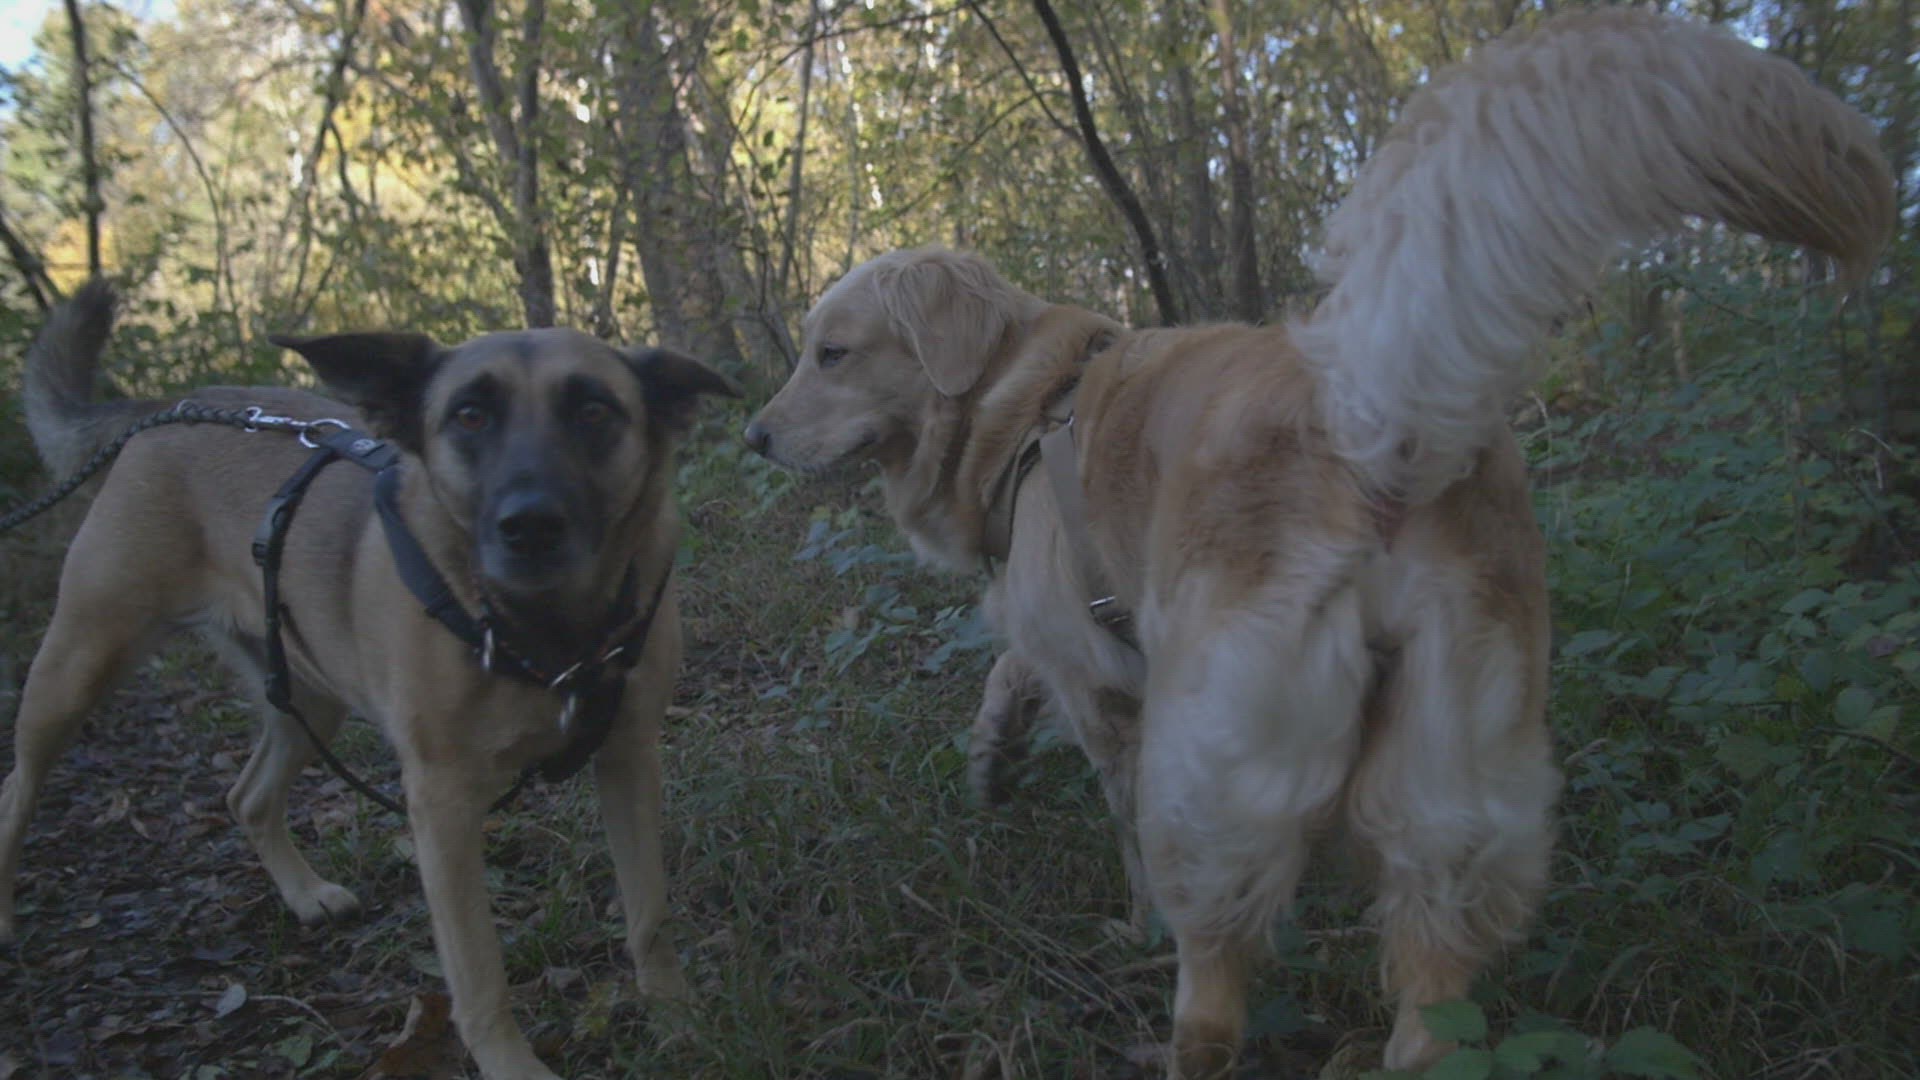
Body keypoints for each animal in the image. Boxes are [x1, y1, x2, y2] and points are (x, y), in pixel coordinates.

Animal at [1, 285, 735, 1080]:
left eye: (595, 411)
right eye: (468, 415)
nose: (530, 525)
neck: (547, 632)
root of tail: (175, 406)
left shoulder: (629, 757)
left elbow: (650, 914)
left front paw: (679, 1018)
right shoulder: (443, 805)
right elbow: (479, 973)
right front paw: (513, 1065)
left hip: (307, 696)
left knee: (247, 796)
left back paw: (305, 896)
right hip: (77, 665)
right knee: (18, 788)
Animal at [744, 10, 1893, 1076]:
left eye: (830, 353)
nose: (751, 436)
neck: (1025, 401)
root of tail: (1373, 413)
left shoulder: (1102, 675)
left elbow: (1103, 796)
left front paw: (1121, 918)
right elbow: (1007, 673)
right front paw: (992, 758)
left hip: (1221, 776)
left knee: (1215, 996)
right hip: (1455, 791)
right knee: (1431, 1019)